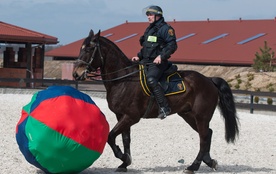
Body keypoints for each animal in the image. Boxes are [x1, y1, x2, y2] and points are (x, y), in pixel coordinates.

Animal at [73, 29, 239, 174]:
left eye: (90, 49)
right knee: (207, 134)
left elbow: (111, 136)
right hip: (188, 115)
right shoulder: (121, 116)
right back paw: (209, 162)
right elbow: (125, 139)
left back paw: (193, 166)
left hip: (201, 116)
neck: (123, 79)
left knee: (204, 138)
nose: (76, 74)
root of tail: (209, 80)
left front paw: (123, 157)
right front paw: (124, 163)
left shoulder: (131, 117)